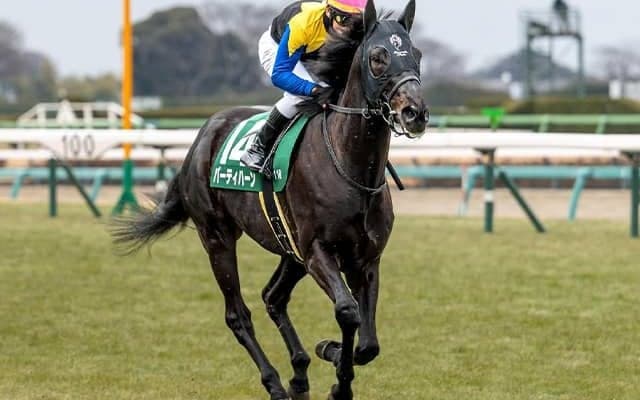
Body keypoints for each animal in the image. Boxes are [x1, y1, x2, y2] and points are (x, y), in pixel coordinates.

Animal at [111, 0, 428, 399]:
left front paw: (332, 359)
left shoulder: (366, 259)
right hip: (217, 237)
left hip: (288, 249)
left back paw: (299, 374)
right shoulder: (318, 251)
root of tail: (201, 138)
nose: (415, 113)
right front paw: (335, 365)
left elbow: (369, 343)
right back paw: (276, 382)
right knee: (238, 314)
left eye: (417, 54)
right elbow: (347, 312)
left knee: (273, 297)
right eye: (378, 57)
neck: (349, 167)